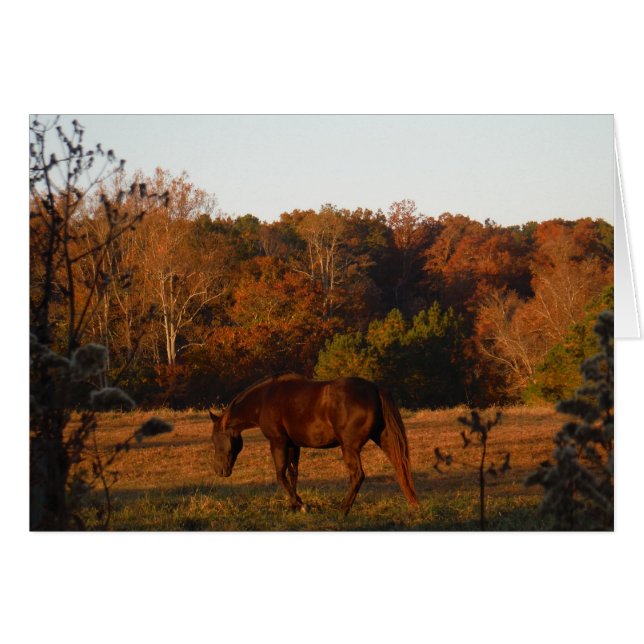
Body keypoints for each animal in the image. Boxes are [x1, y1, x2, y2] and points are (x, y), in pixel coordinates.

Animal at [209, 373, 419, 515]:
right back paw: (413, 504)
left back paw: (343, 510)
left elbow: (280, 475)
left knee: (358, 476)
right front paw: (294, 505)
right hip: (384, 440)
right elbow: (293, 474)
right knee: (400, 467)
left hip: (350, 448)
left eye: (214, 439)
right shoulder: (293, 445)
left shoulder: (278, 442)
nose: (219, 471)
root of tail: (375, 390)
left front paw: (301, 505)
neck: (265, 398)